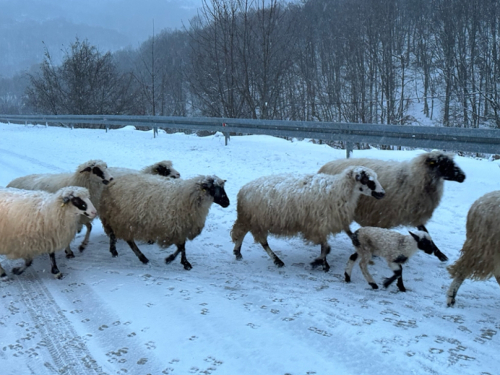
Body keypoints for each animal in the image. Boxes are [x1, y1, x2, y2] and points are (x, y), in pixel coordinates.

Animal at [99, 175, 230, 268]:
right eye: (213, 189)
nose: (227, 203)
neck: (190, 197)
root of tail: (111, 182)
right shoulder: (174, 227)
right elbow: (181, 246)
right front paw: (171, 259)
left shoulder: (180, 228)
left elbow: (182, 246)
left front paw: (183, 262)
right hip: (121, 219)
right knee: (127, 240)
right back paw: (141, 258)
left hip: (118, 219)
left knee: (115, 235)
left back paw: (115, 251)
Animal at [231, 166, 386, 272]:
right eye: (368, 180)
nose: (382, 194)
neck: (339, 191)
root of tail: (243, 190)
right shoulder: (317, 225)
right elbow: (326, 247)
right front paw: (320, 263)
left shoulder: (334, 221)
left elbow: (347, 237)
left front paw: (322, 263)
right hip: (257, 220)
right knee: (262, 242)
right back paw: (277, 260)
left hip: (251, 219)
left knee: (242, 233)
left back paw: (238, 252)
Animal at [318, 151, 466, 262]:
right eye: (444, 163)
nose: (463, 176)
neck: (414, 180)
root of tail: (325, 166)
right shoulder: (384, 214)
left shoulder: (413, 213)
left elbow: (425, 232)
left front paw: (440, 254)